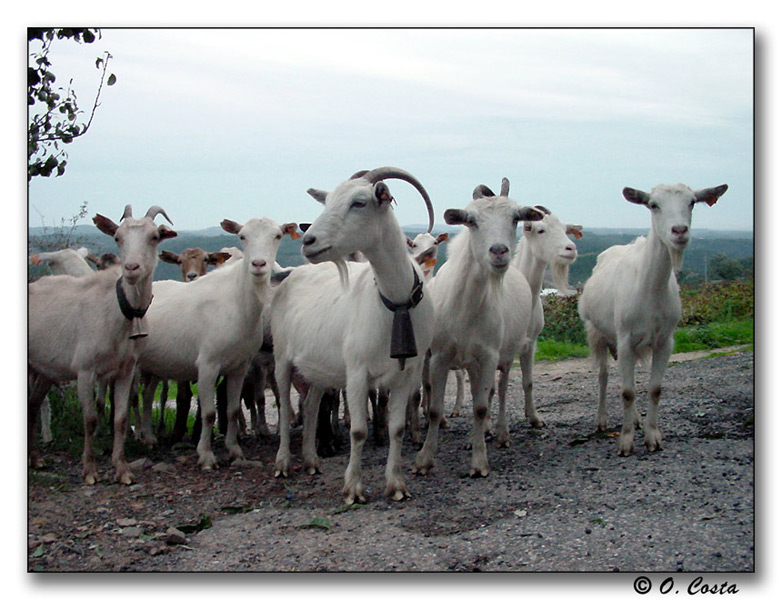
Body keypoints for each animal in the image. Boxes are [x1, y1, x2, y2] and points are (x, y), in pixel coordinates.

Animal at [28, 206, 177, 482]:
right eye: (117, 237)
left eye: (154, 237)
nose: (131, 267)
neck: (117, 309)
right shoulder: (85, 370)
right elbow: (90, 419)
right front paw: (89, 470)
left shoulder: (126, 370)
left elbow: (120, 418)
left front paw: (122, 470)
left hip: (45, 369)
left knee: (32, 405)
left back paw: (36, 459)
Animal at [136, 217, 298, 468]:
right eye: (242, 236)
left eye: (277, 236)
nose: (258, 264)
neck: (235, 302)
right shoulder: (208, 364)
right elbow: (209, 413)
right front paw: (206, 455)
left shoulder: (240, 366)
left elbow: (232, 410)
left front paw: (235, 451)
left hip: (153, 363)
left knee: (146, 395)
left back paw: (150, 437)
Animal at [272, 166, 438, 504]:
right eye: (327, 201)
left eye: (359, 202)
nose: (308, 240)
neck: (394, 301)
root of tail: (291, 274)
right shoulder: (358, 371)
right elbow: (358, 431)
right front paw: (353, 489)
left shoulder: (407, 372)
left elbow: (397, 427)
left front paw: (396, 485)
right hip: (281, 359)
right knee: (284, 405)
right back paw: (282, 464)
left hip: (317, 368)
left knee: (311, 406)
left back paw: (311, 461)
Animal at [414, 180, 544, 476]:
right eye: (471, 221)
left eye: (515, 218)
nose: (498, 251)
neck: (466, 305)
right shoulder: (439, 357)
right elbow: (436, 409)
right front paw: (424, 460)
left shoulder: (488, 356)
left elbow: (482, 407)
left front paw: (479, 462)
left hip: (505, 354)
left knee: (502, 389)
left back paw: (500, 434)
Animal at [580, 183, 728, 454]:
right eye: (653, 205)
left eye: (692, 202)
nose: (679, 231)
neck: (649, 290)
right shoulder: (625, 338)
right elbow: (627, 392)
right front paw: (625, 442)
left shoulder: (664, 341)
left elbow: (654, 389)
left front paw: (652, 436)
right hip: (597, 331)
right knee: (604, 375)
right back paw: (601, 420)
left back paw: (636, 419)